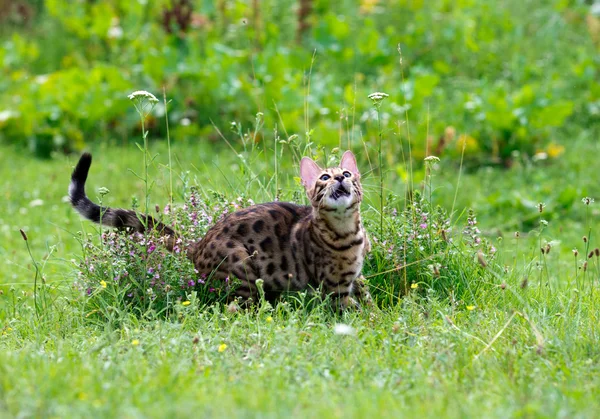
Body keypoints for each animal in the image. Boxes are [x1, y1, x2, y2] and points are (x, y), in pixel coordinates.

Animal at [70, 151, 370, 308]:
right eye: (324, 177)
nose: (340, 178)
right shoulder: (334, 289)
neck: (346, 232)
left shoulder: (355, 280)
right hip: (242, 267)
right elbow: (355, 312)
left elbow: (366, 299)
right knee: (235, 308)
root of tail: (196, 245)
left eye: (347, 173)